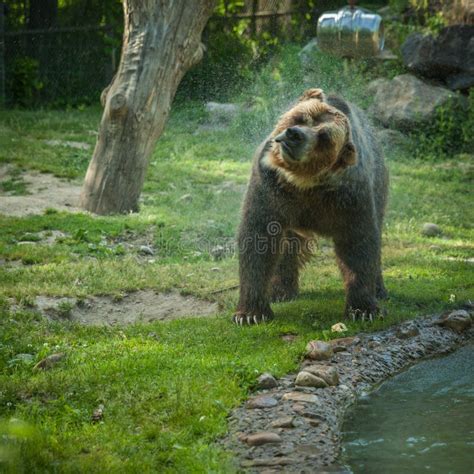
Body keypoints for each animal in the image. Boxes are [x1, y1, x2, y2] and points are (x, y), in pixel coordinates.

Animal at [233, 88, 388, 326]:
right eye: (301, 117)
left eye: (324, 137)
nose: (294, 134)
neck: (303, 183)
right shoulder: (270, 188)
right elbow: (258, 238)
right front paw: (250, 313)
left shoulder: (350, 196)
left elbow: (358, 244)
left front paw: (363, 309)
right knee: (287, 246)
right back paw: (280, 290)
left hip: (378, 183)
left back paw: (379, 289)